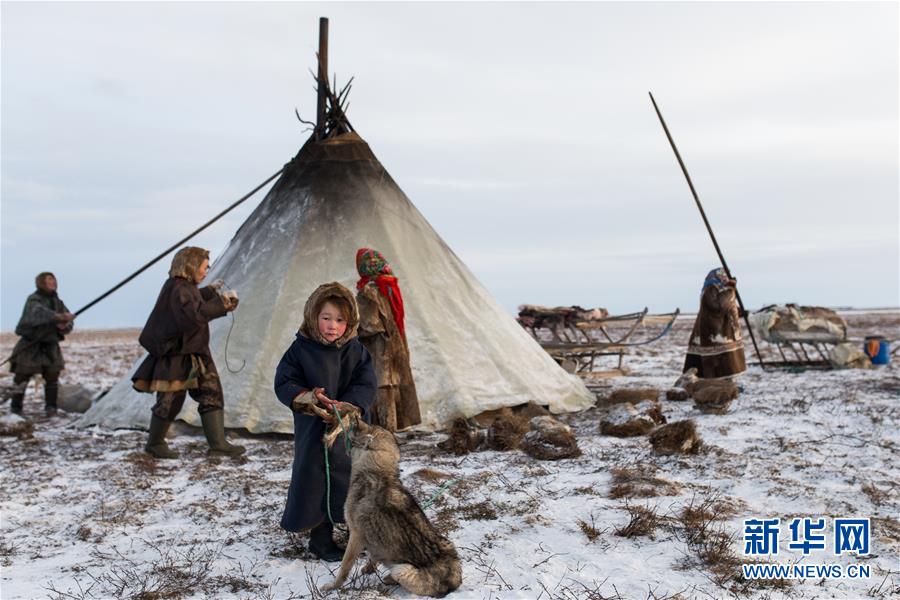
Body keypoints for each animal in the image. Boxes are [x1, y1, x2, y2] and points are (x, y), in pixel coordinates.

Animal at [322, 420, 464, 596]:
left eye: (355, 428)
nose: (355, 419)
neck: (378, 471)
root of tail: (454, 582)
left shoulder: (356, 535)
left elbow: (344, 568)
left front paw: (332, 587)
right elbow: (372, 557)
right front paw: (368, 569)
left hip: (402, 570)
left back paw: (388, 579)